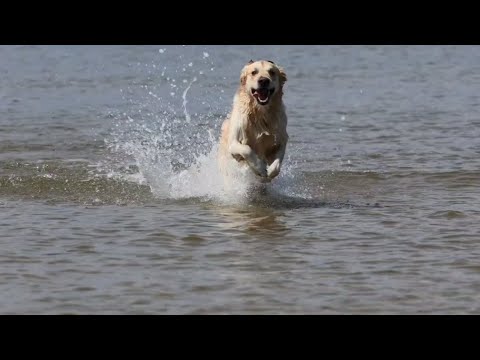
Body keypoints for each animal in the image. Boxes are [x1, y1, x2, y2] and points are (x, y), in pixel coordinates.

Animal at [218, 59, 288, 188]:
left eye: (272, 72)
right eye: (253, 72)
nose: (264, 80)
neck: (260, 113)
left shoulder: (282, 139)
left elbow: (277, 164)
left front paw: (269, 173)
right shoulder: (233, 143)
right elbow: (247, 149)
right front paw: (260, 168)